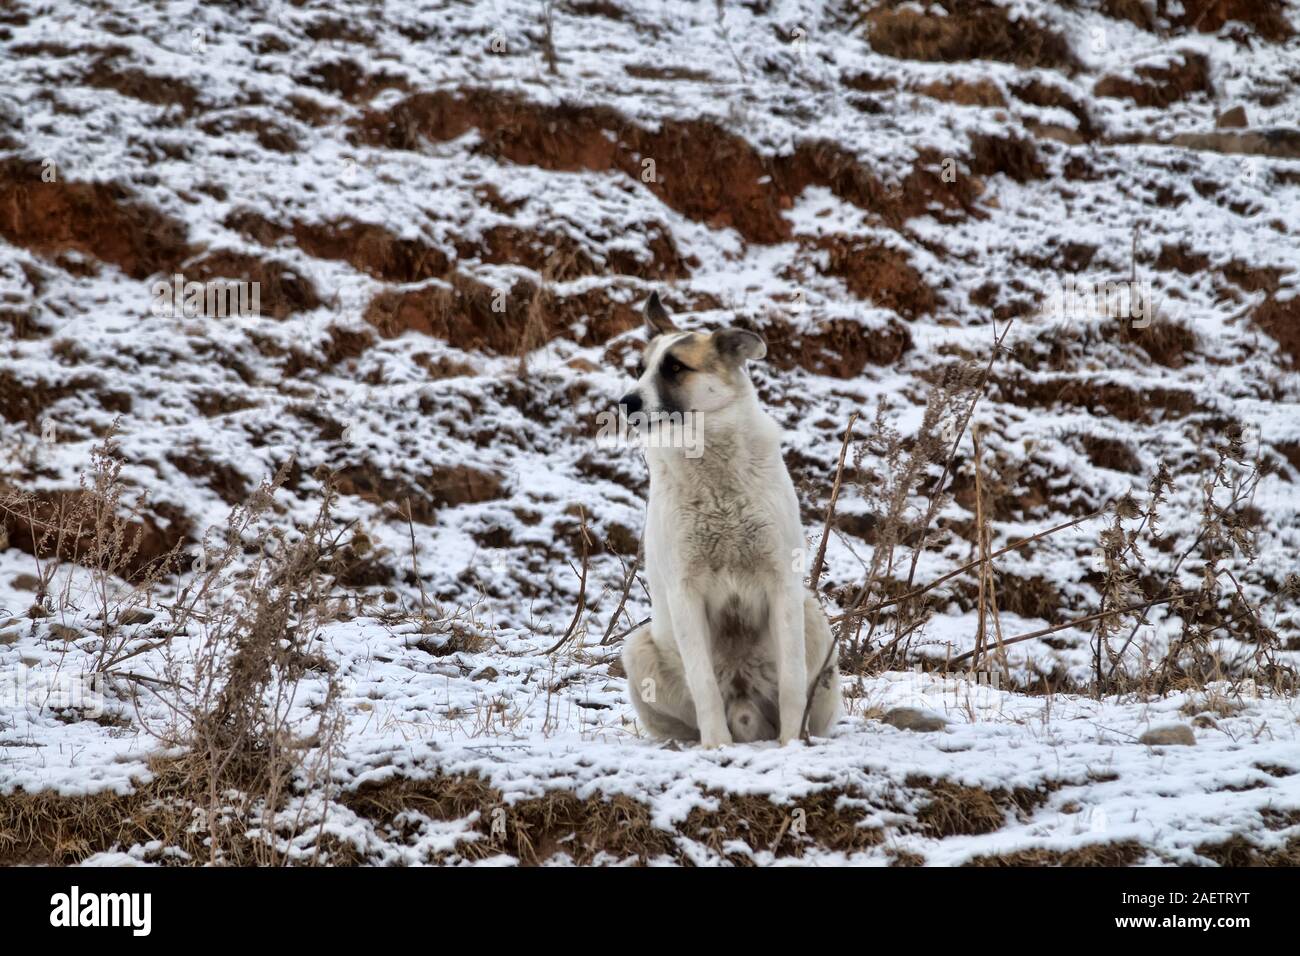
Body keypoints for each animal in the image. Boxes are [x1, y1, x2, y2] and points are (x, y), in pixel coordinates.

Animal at [618, 291, 842, 749]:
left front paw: (791, 744)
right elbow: (703, 683)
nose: (626, 403)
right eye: (639, 369)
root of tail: (746, 715)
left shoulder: (780, 582)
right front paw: (715, 746)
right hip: (637, 648)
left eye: (675, 368)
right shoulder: (686, 591)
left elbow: (792, 682)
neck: (714, 474)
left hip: (812, 616)